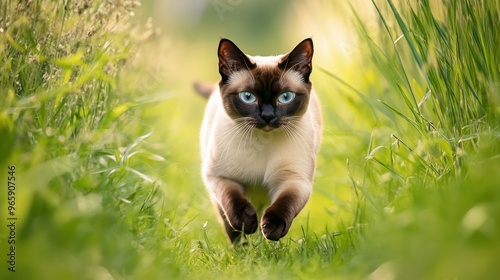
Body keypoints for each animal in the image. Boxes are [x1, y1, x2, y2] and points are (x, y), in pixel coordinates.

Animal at [197, 37, 322, 243]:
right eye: (248, 97)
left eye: (285, 97)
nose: (268, 116)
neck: (263, 140)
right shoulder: (222, 178)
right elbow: (234, 203)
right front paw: (247, 224)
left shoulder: (293, 180)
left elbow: (283, 205)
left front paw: (271, 228)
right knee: (231, 228)